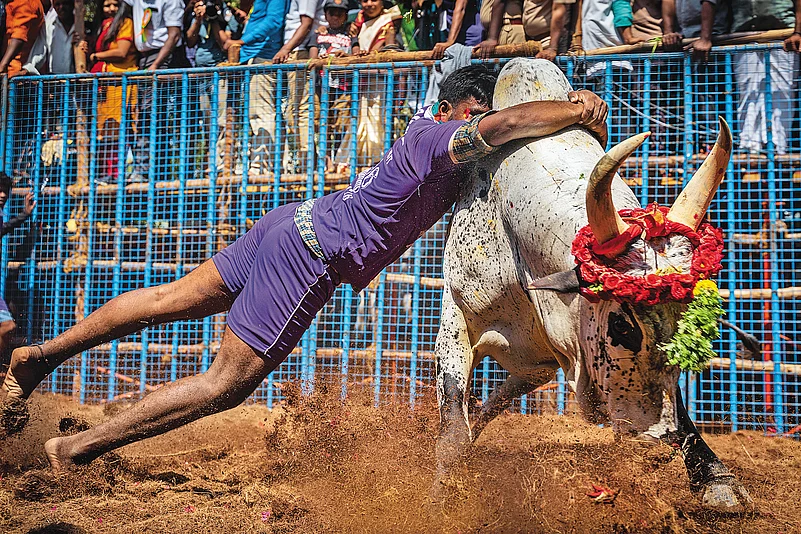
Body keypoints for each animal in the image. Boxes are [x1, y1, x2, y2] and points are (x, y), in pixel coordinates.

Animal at [434, 58, 752, 512]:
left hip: (534, 368)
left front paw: (716, 479)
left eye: (688, 327)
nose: (659, 440)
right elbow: (453, 424)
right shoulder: (457, 320)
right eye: (622, 325)